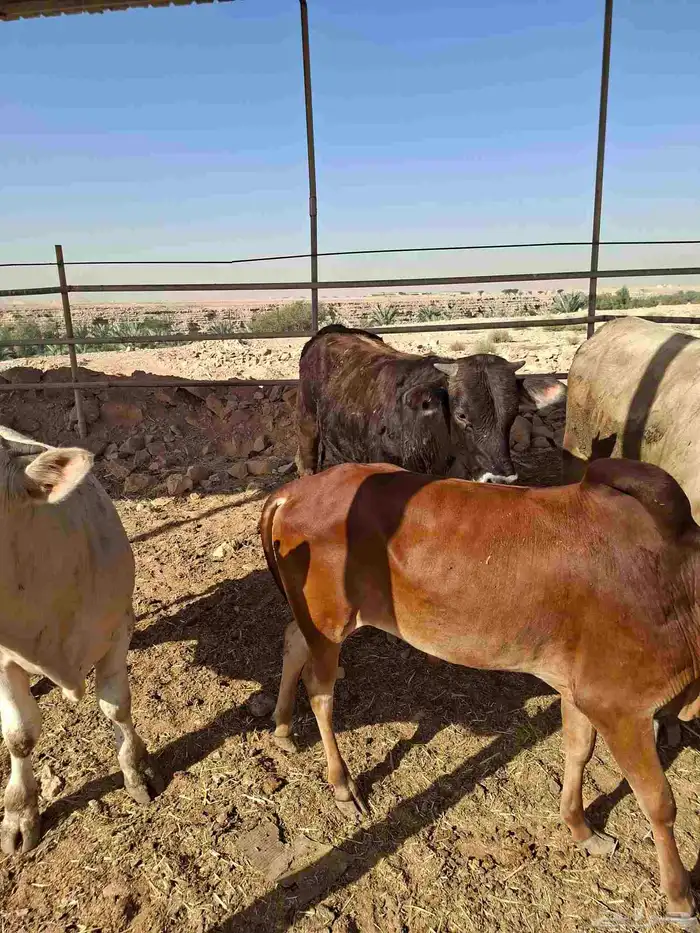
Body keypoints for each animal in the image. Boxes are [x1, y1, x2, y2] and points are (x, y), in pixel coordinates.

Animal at [260, 459, 700, 925]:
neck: (680, 584)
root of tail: (294, 491)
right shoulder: (620, 705)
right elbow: (660, 803)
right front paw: (680, 898)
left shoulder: (580, 691)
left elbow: (578, 752)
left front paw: (581, 829)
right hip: (329, 623)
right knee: (320, 692)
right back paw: (342, 785)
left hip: (318, 623)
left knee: (292, 641)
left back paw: (283, 727)